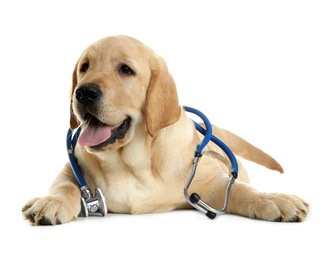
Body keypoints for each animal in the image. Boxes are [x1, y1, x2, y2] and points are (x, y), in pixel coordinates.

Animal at [22, 35, 308, 224]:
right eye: (84, 67)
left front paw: (273, 198)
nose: (83, 92)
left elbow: (239, 189)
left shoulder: (210, 183)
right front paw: (51, 201)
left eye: (126, 70)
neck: (131, 163)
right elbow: (65, 186)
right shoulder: (69, 170)